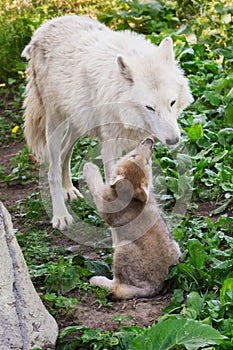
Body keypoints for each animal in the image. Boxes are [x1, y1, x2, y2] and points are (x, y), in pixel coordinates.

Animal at [21, 15, 193, 231]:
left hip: (78, 124)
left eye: (172, 102)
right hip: (54, 124)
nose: (173, 140)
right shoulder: (109, 146)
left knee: (64, 154)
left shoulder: (138, 141)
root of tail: (43, 27)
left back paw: (68, 189)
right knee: (52, 168)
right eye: (150, 107)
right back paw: (61, 215)